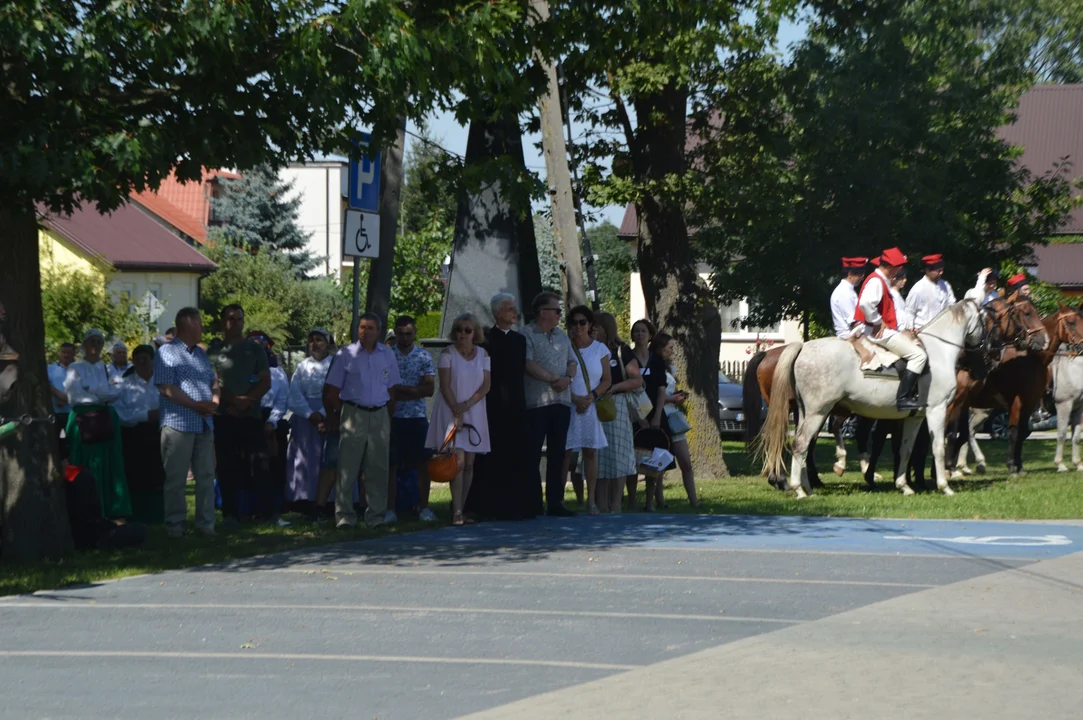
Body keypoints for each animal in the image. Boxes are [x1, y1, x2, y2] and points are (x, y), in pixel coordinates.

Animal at [758, 300, 987, 498]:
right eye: (984, 319)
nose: (984, 350)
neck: (938, 351)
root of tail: (804, 347)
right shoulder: (936, 410)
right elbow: (938, 447)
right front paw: (944, 486)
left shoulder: (915, 417)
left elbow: (905, 449)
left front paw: (904, 486)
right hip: (818, 412)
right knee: (801, 445)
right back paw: (799, 490)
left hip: (807, 413)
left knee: (805, 447)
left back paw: (808, 487)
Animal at [948, 300, 1074, 474]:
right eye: (1072, 322)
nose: (1044, 341)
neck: (1035, 359)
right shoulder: (1022, 404)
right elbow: (1017, 432)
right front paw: (1013, 465)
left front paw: (1018, 465)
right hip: (980, 410)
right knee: (968, 432)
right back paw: (972, 464)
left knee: (966, 432)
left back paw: (964, 466)